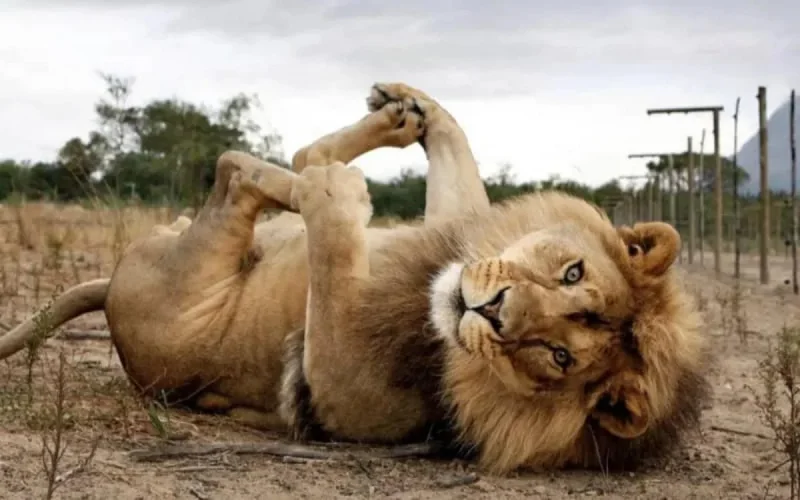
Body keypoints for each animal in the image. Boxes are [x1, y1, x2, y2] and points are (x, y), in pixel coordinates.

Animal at [0, 82, 711, 474]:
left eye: (560, 357)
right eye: (572, 272)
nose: (491, 309)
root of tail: (109, 292)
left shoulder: (336, 386)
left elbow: (333, 245)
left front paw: (335, 190)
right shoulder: (452, 232)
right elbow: (457, 167)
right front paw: (416, 109)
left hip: (197, 269)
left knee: (238, 171)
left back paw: (314, 172)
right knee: (272, 165)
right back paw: (390, 121)